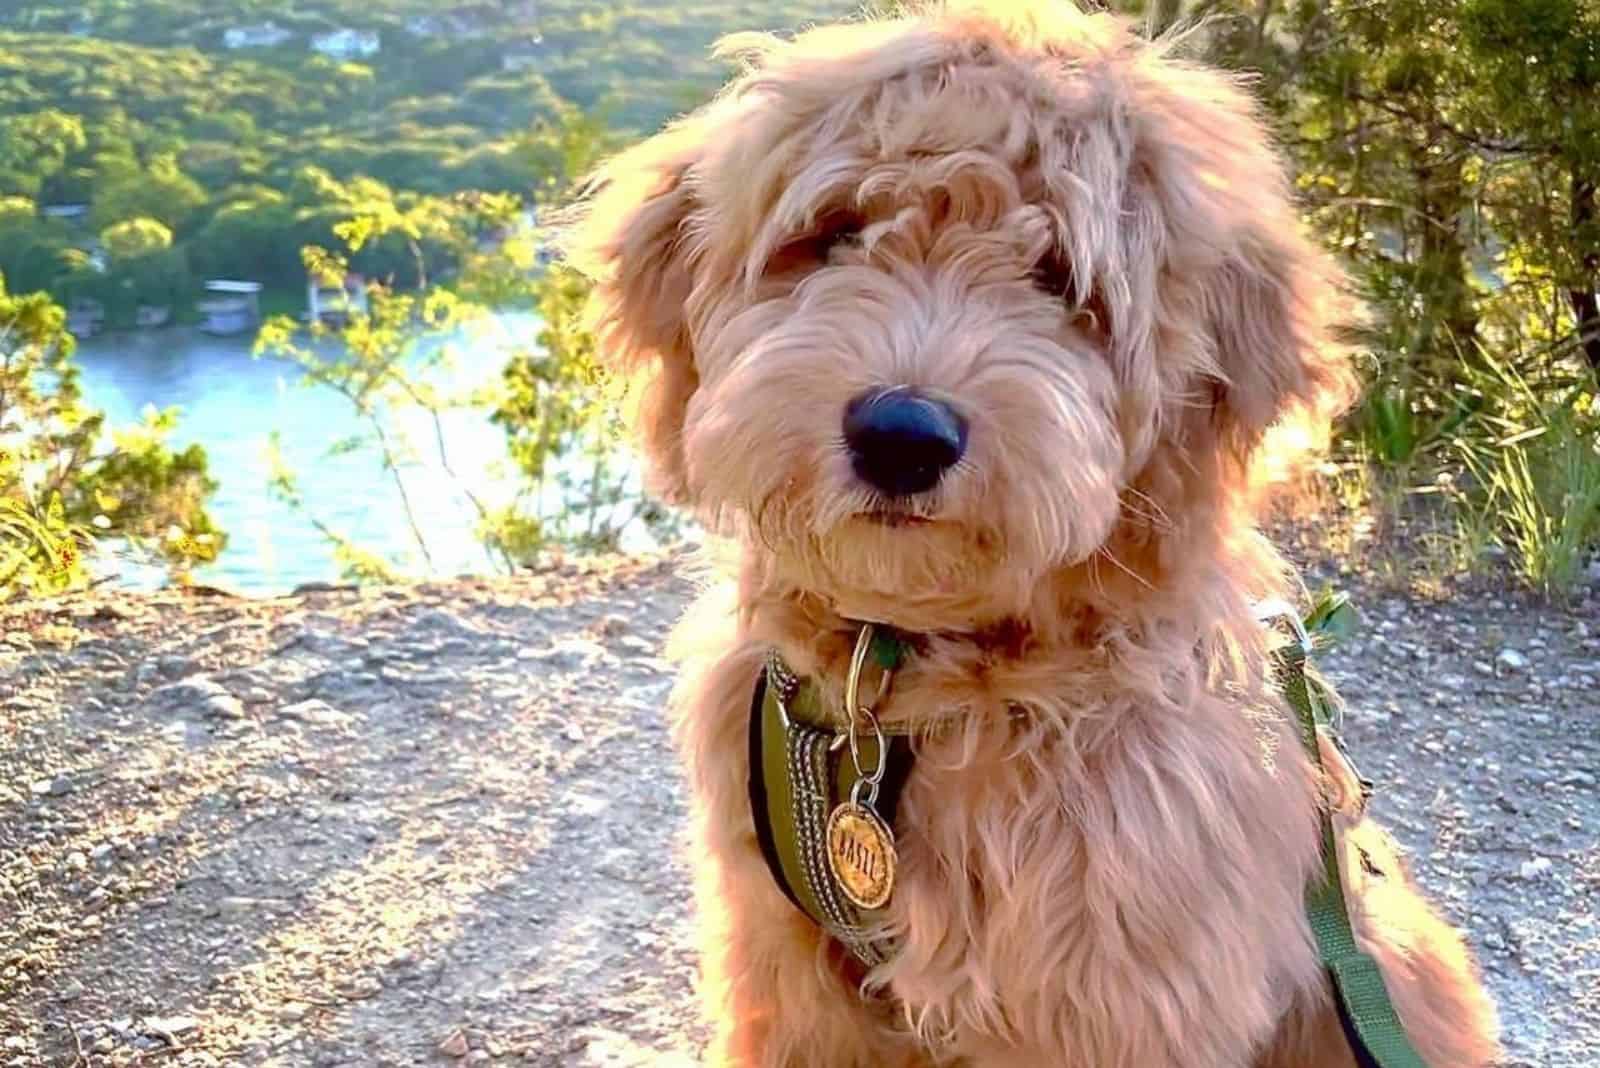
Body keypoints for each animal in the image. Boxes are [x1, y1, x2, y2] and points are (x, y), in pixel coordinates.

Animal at [563, 2, 1497, 1068]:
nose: (901, 435)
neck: (898, 691)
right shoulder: (784, 962)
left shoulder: (1118, 991)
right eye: (838, 233)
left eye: (1057, 278)